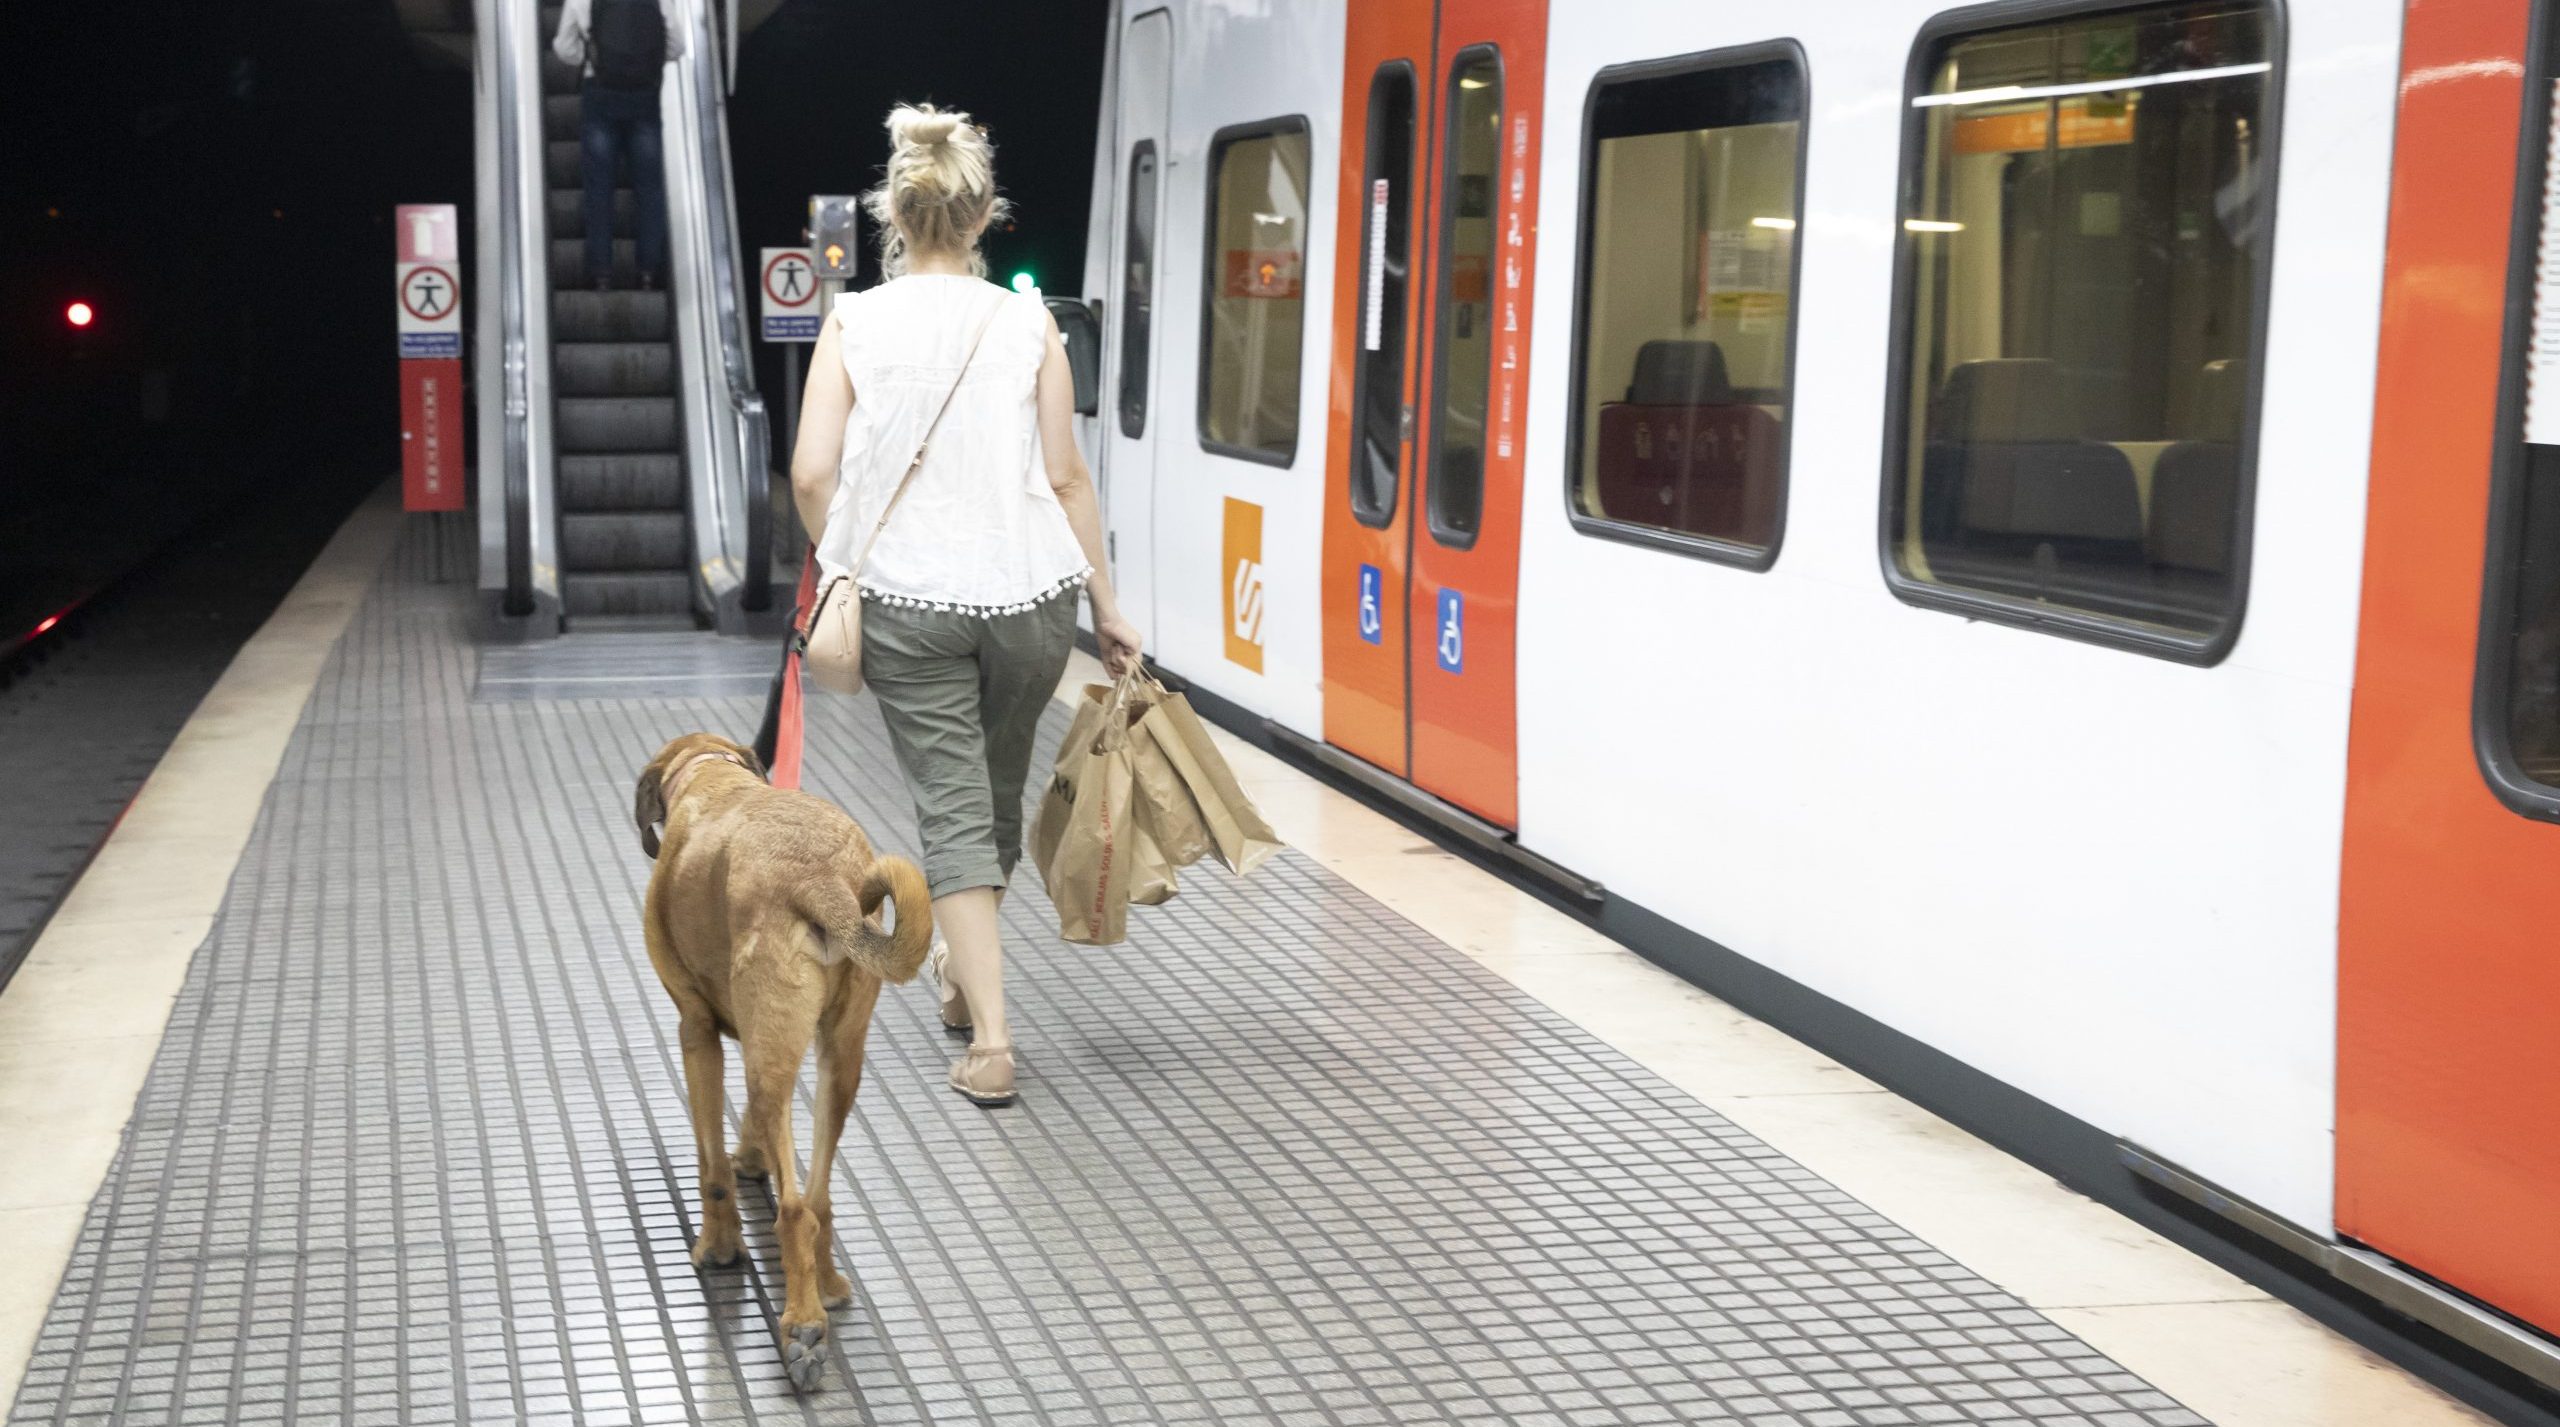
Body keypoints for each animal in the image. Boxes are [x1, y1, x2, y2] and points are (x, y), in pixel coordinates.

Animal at [632, 732, 931, 1391]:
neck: (710, 775)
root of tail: (820, 877)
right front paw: (753, 1157)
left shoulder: (697, 1034)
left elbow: (712, 1166)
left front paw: (720, 1248)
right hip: (838, 1059)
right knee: (816, 1199)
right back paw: (826, 1283)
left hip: (768, 1053)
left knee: (793, 1208)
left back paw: (802, 1326)